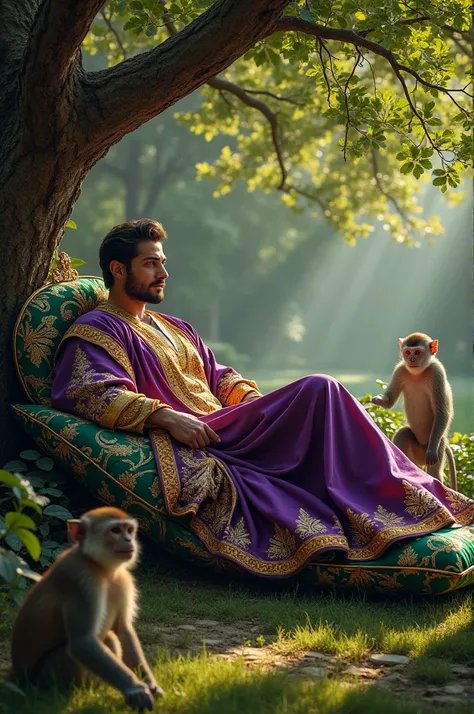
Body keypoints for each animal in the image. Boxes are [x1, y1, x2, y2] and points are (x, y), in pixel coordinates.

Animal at [9, 504, 165, 708]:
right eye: (116, 530)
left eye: (129, 530)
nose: (128, 539)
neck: (101, 568)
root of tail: (17, 675)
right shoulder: (82, 582)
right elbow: (82, 643)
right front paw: (136, 689)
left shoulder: (123, 581)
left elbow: (123, 630)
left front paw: (150, 685)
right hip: (46, 676)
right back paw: (78, 692)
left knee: (111, 638)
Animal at [372, 332, 458, 490]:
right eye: (408, 352)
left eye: (417, 352)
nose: (411, 359)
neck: (418, 373)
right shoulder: (400, 369)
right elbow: (389, 402)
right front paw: (378, 400)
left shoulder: (437, 372)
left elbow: (442, 412)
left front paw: (431, 451)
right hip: (415, 454)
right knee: (404, 432)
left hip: (436, 446)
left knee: (435, 468)